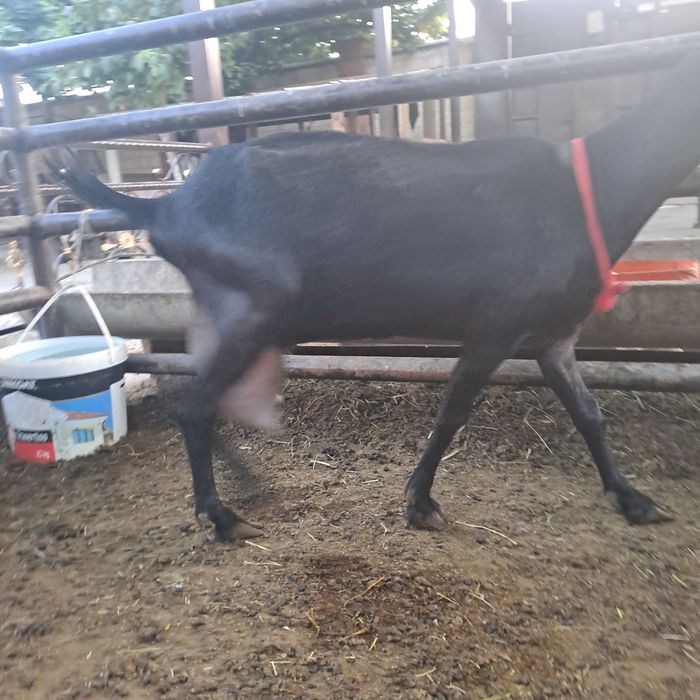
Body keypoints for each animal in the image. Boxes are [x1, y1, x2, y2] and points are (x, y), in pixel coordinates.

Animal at [51, 50, 700, 541]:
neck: (587, 191)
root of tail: (162, 208)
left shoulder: (553, 335)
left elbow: (589, 415)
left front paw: (632, 498)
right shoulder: (495, 326)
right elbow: (452, 411)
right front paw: (419, 502)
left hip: (223, 313)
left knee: (202, 398)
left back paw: (248, 485)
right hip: (252, 307)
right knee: (195, 407)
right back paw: (223, 517)